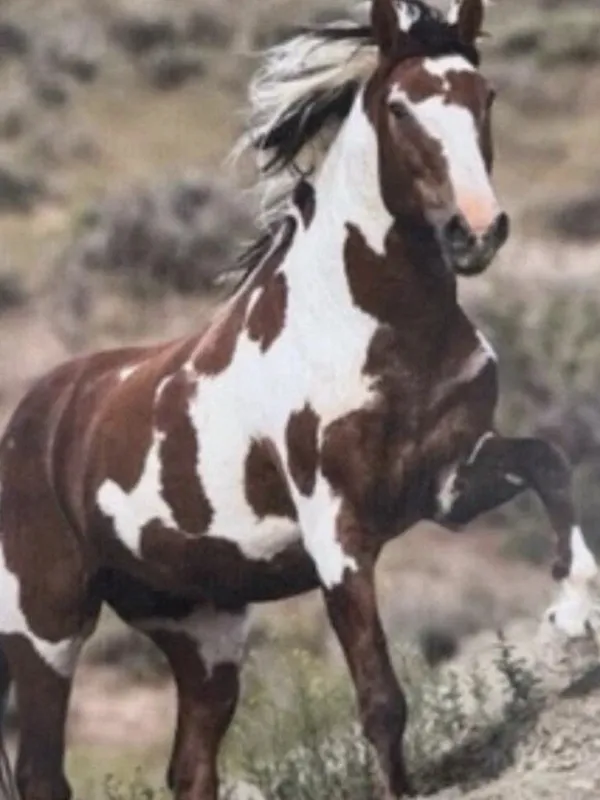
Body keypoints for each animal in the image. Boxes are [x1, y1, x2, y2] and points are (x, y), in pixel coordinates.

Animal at [0, 1, 597, 798]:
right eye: (401, 106)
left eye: (486, 96)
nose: (474, 232)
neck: (374, 324)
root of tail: (30, 419)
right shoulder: (338, 534)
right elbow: (381, 703)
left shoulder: (447, 482)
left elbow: (549, 462)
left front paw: (574, 608)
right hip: (46, 622)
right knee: (42, 769)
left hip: (201, 632)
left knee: (190, 766)